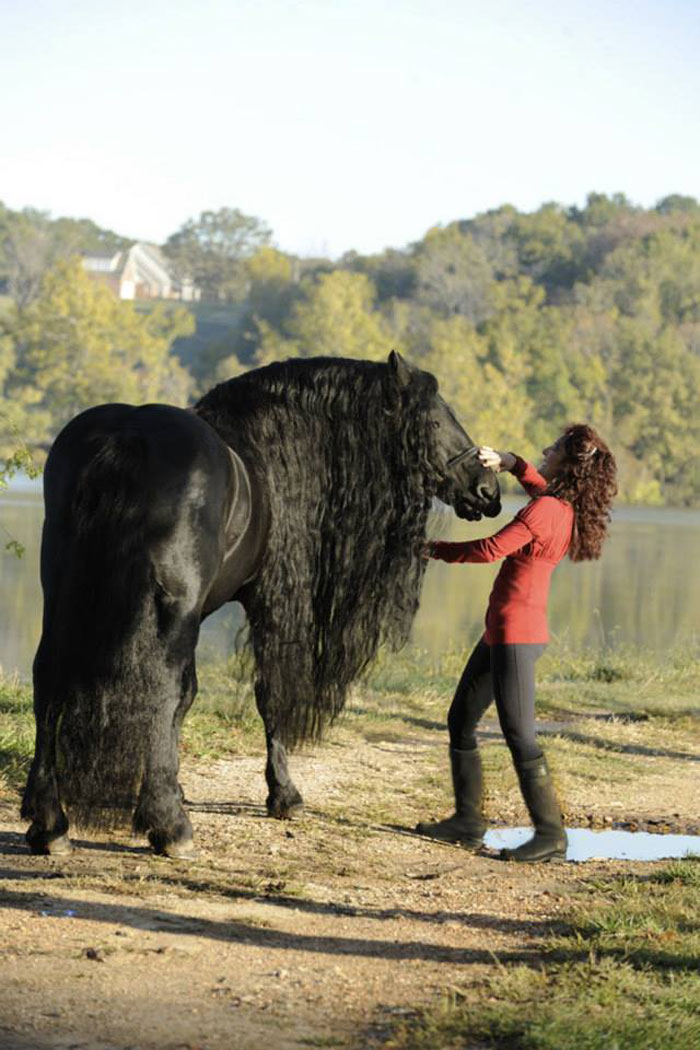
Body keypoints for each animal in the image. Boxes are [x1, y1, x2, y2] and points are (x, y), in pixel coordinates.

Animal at [21, 352, 501, 857]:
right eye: (434, 420)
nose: (488, 490)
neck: (269, 457)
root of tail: (127, 434)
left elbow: (187, 699)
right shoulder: (271, 598)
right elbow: (264, 693)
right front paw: (282, 794)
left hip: (66, 593)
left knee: (50, 680)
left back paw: (50, 823)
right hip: (168, 608)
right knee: (157, 686)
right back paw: (170, 827)